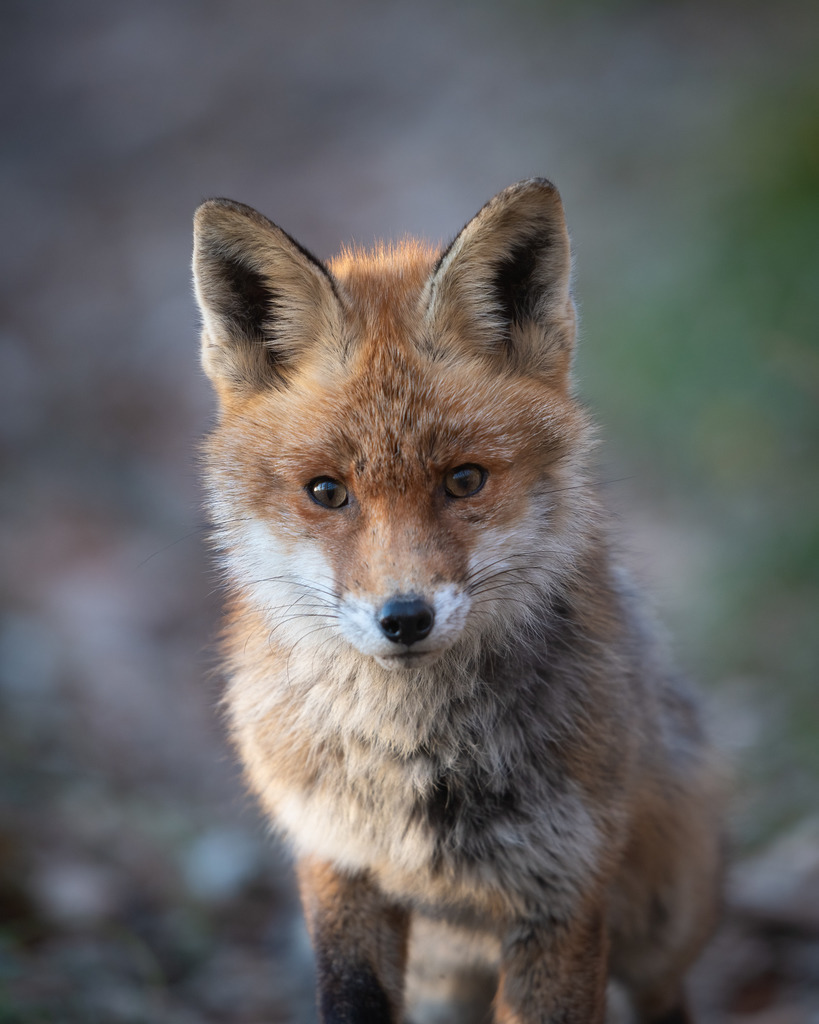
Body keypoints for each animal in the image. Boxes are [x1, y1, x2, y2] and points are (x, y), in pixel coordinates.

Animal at [192, 179, 723, 1024]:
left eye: (464, 480)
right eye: (326, 492)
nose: (404, 619)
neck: (413, 763)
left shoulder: (562, 892)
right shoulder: (337, 863)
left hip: (661, 929)